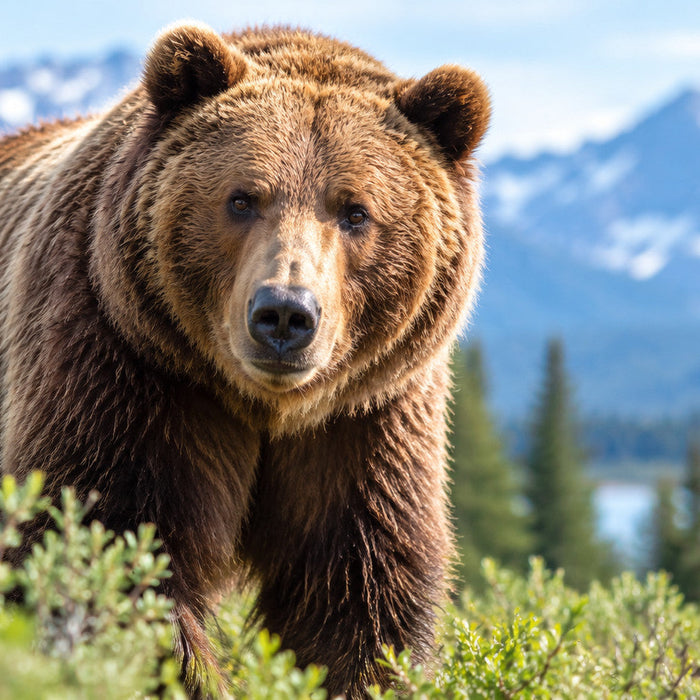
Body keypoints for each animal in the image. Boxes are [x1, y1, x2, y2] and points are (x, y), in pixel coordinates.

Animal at [0, 22, 490, 698]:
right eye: (242, 199)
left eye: (355, 210)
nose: (284, 314)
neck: (263, 408)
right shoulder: (125, 372)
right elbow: (109, 548)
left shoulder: (365, 424)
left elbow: (357, 597)